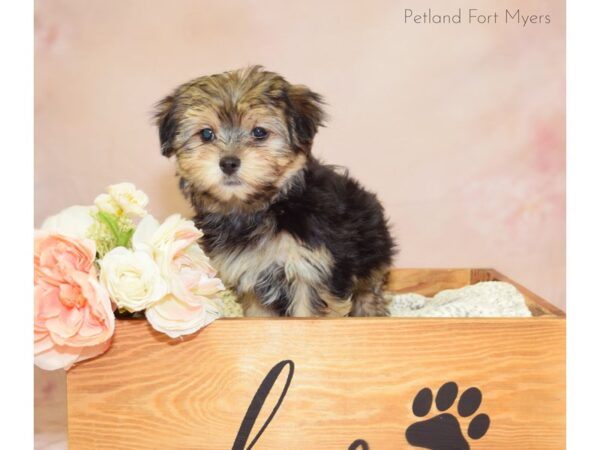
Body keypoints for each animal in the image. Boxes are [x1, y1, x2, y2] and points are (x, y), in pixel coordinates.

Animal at [157, 67, 396, 318]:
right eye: (206, 134)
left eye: (259, 132)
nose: (229, 163)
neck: (264, 207)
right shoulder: (250, 274)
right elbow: (260, 315)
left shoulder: (312, 270)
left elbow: (308, 315)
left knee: (368, 289)